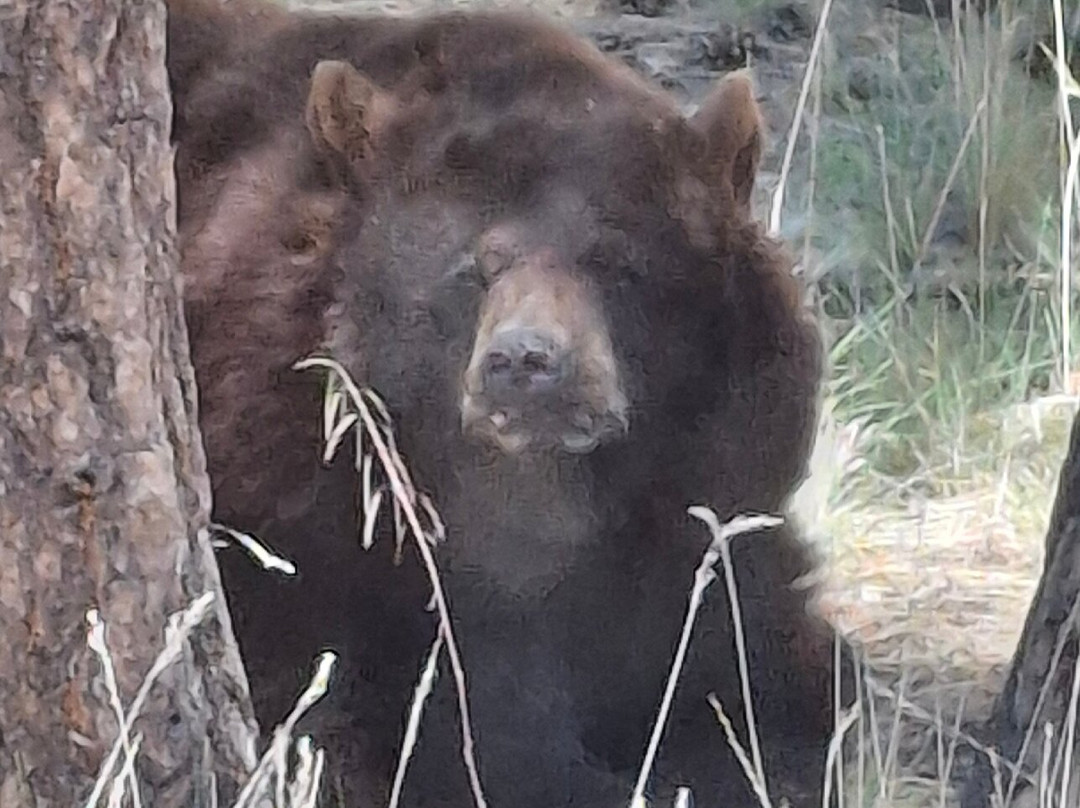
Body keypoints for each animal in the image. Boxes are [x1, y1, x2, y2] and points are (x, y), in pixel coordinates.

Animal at [166, 1, 850, 806]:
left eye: (612, 260)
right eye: (475, 268)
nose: (527, 361)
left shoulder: (696, 523)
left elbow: (765, 664)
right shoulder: (296, 520)